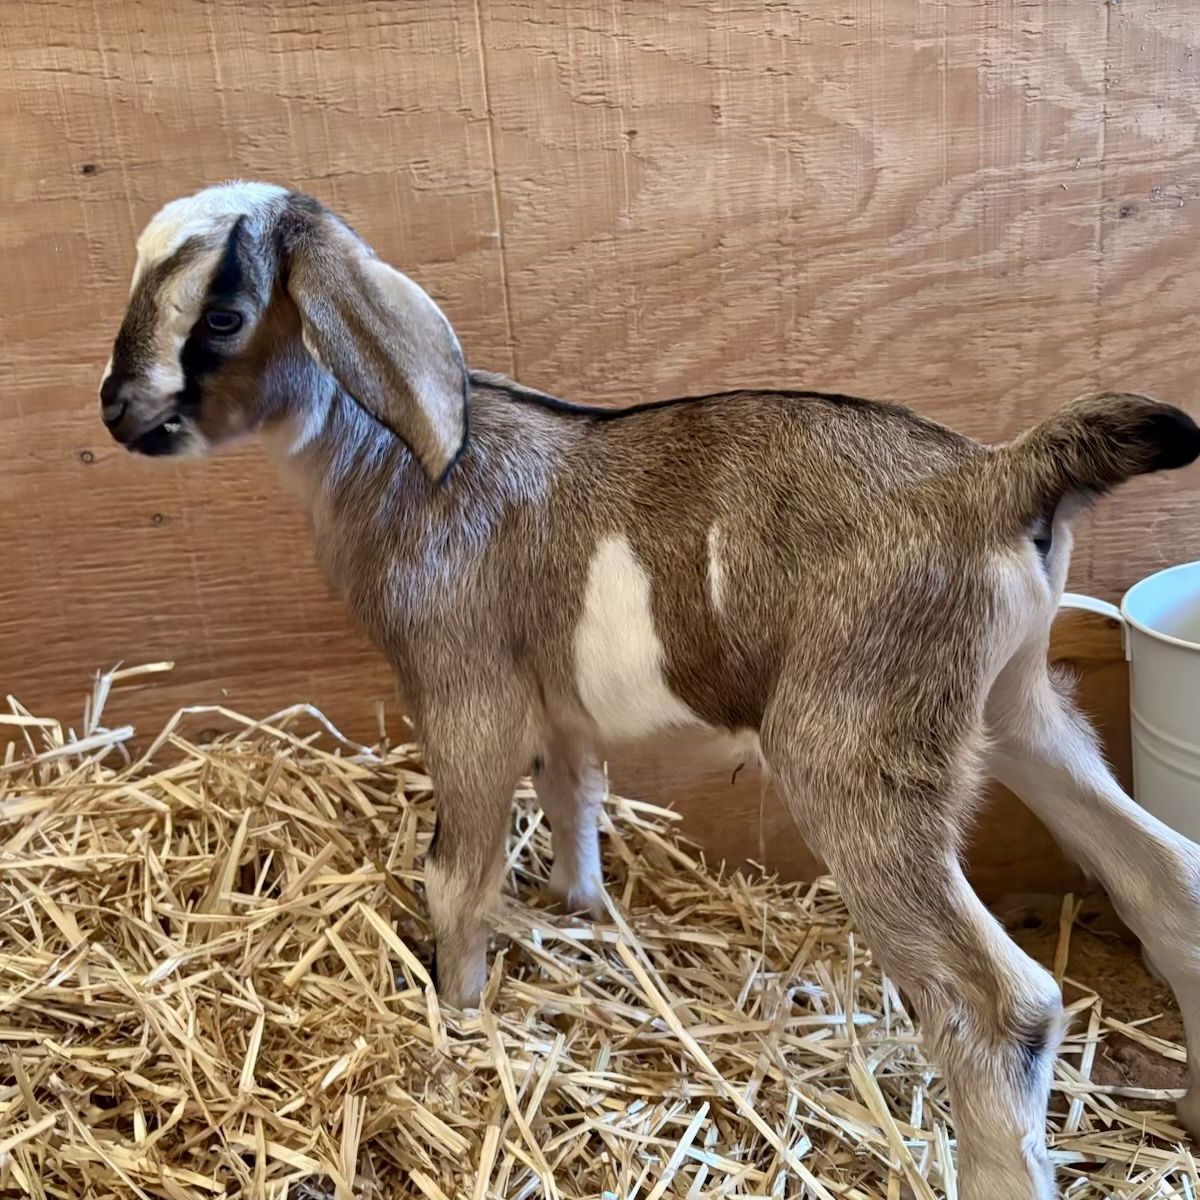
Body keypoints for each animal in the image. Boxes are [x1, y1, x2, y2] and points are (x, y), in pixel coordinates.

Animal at [99, 181, 1200, 1200]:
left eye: (223, 315)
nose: (117, 410)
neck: (403, 468)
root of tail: (996, 477)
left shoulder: (464, 689)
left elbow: (458, 872)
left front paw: (459, 1020)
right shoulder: (560, 707)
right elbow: (575, 796)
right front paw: (581, 912)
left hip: (856, 745)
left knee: (1000, 1003)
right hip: (1013, 704)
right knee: (1166, 877)